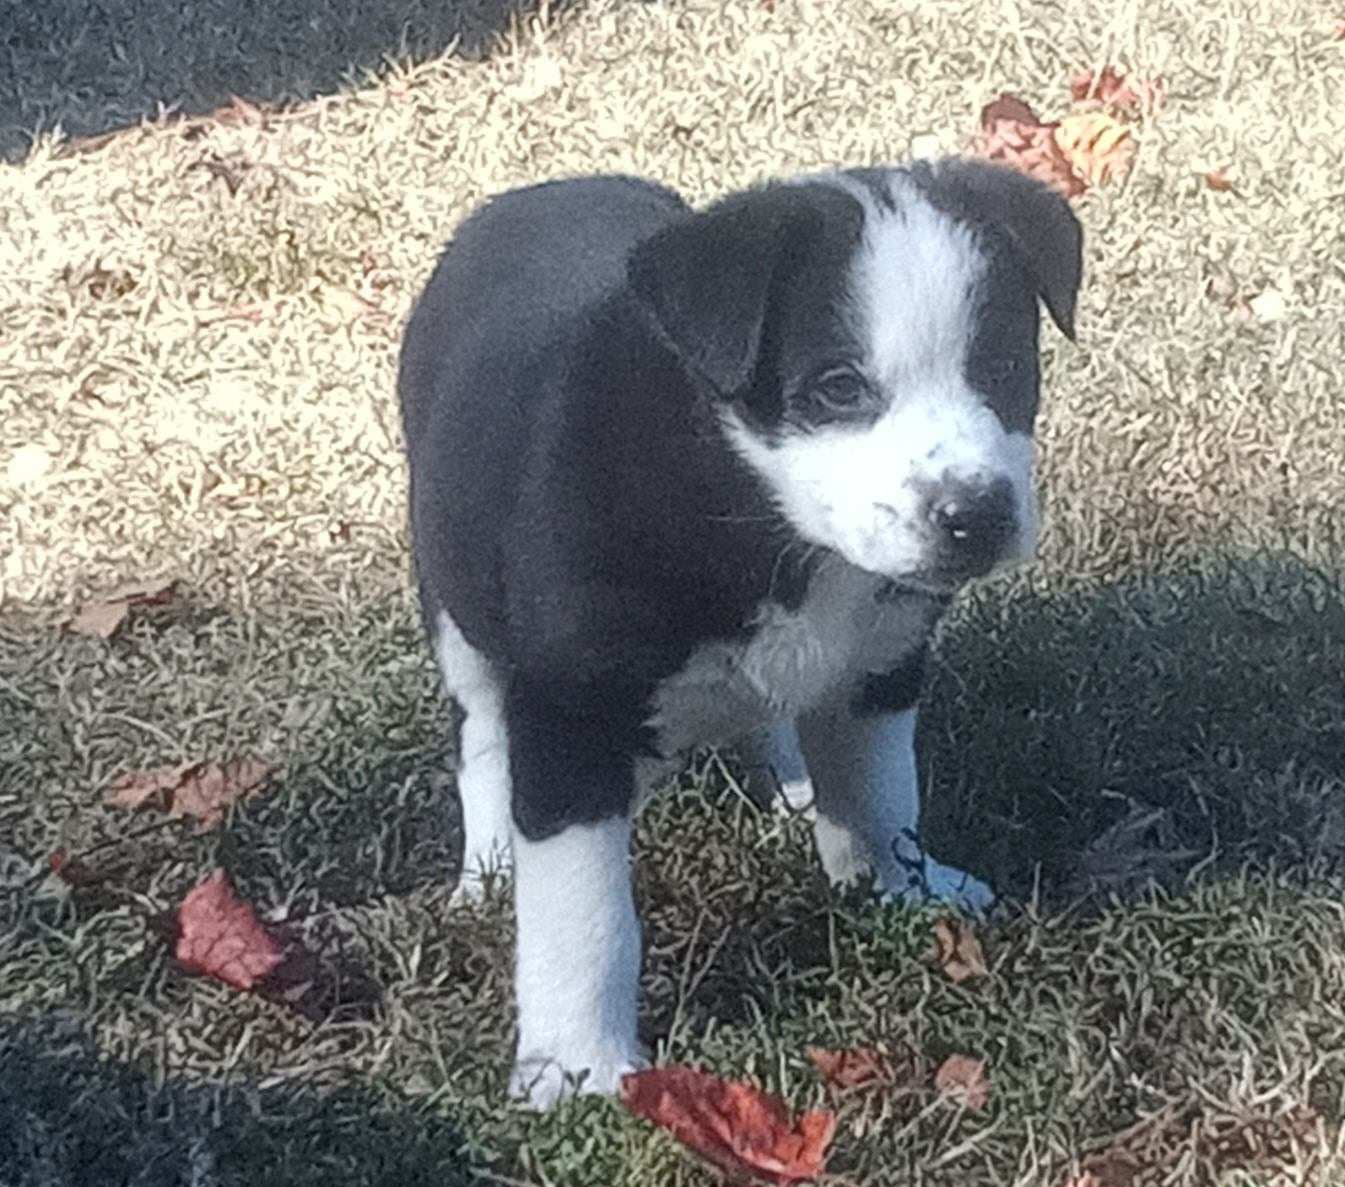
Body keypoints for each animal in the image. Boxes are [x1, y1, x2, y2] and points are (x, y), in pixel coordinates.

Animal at [398, 159, 1081, 1113]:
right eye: (838, 387)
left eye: (1007, 367)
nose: (974, 515)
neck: (759, 509)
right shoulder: (570, 713)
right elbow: (584, 913)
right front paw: (577, 1062)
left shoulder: (881, 659)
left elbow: (881, 793)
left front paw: (901, 888)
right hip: (453, 603)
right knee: (482, 734)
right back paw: (488, 866)